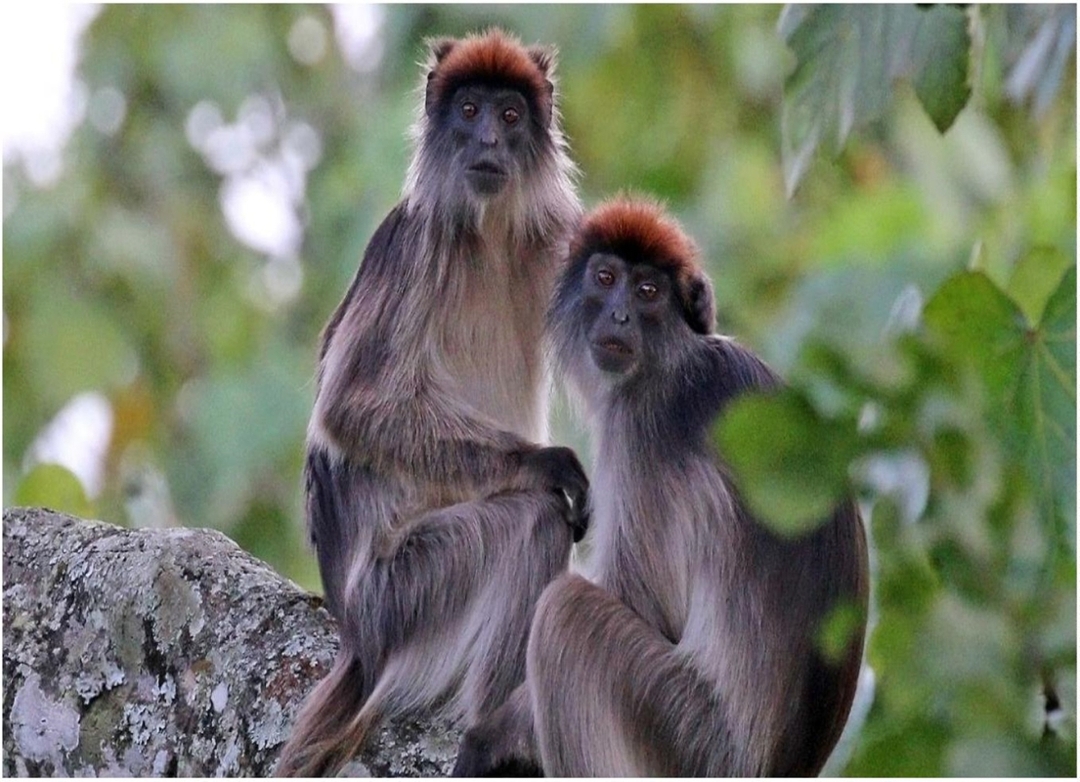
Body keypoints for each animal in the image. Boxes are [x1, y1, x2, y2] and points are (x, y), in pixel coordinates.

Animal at [274, 30, 586, 776]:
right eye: (469, 109)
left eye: (509, 115)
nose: (489, 140)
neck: (491, 232)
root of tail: (357, 641)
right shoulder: (412, 242)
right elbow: (350, 407)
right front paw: (548, 463)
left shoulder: (560, 239)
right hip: (402, 600)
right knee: (533, 521)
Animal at [453, 197, 869, 777]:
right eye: (605, 279)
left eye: (648, 291)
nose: (619, 315)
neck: (675, 358)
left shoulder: (644, 426)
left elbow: (638, 602)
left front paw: (493, 736)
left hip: (688, 738)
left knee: (566, 613)